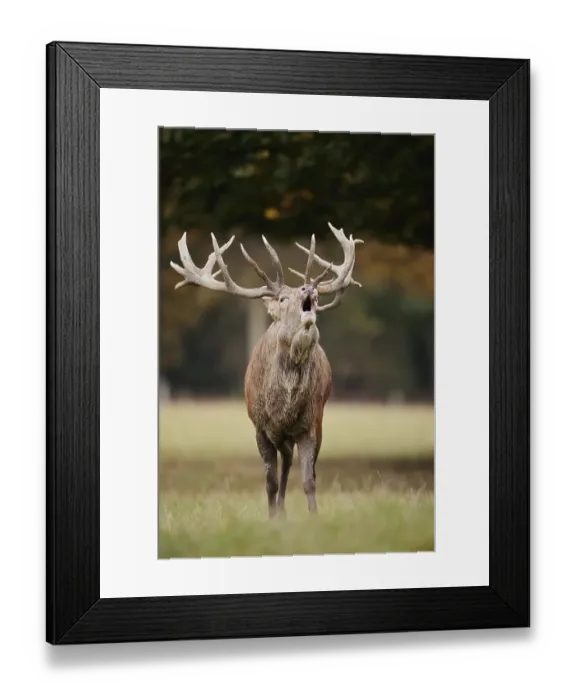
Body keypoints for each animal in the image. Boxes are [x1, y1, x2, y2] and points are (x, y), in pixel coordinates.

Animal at [170, 222, 362, 518]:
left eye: (317, 297)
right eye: (282, 299)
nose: (309, 289)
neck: (283, 405)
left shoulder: (309, 424)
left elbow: (308, 480)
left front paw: (314, 516)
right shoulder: (260, 426)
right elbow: (270, 481)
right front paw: (271, 518)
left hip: (315, 422)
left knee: (297, 464)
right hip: (278, 434)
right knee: (285, 463)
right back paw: (280, 510)